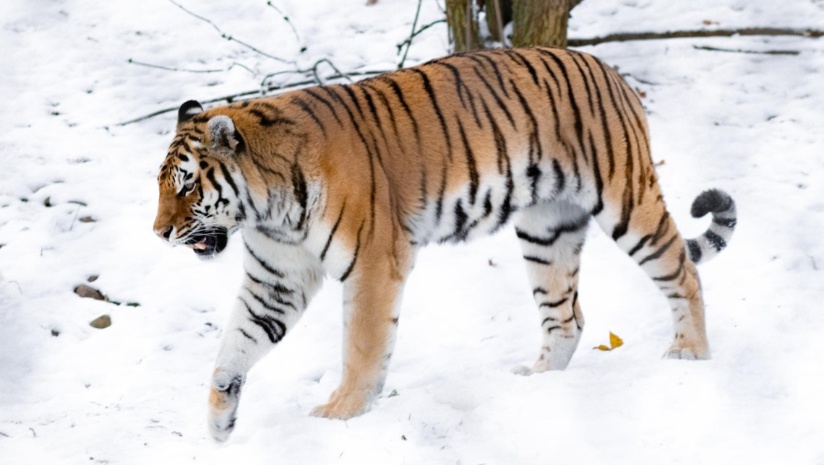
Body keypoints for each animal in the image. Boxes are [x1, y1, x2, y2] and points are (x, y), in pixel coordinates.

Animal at [153, 47, 732, 442]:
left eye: (187, 186)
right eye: (162, 185)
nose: (159, 233)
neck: (268, 211)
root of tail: (607, 67)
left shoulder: (373, 262)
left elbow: (362, 347)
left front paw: (341, 414)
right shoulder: (276, 279)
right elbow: (235, 345)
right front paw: (219, 421)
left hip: (626, 199)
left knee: (683, 271)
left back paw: (690, 352)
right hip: (546, 230)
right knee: (567, 317)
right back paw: (538, 381)